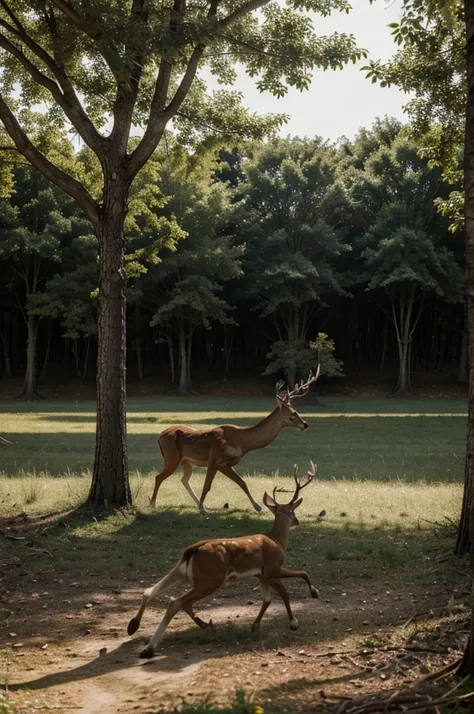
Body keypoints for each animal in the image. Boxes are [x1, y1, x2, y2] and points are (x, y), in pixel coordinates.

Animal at [128, 462, 318, 656]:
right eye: (293, 511)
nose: (297, 521)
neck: (277, 540)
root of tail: (194, 549)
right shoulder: (272, 567)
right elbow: (293, 583)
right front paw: (298, 616)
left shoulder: (261, 575)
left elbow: (268, 599)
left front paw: (255, 626)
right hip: (211, 578)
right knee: (176, 602)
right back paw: (149, 648)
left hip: (184, 572)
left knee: (151, 591)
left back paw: (135, 626)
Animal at [151, 364, 322, 508]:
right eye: (293, 415)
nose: (305, 424)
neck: (243, 441)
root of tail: (159, 437)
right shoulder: (215, 459)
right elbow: (208, 485)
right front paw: (202, 508)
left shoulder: (227, 463)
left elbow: (242, 483)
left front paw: (257, 506)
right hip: (171, 457)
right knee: (159, 477)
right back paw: (153, 503)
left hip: (185, 461)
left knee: (184, 479)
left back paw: (194, 502)